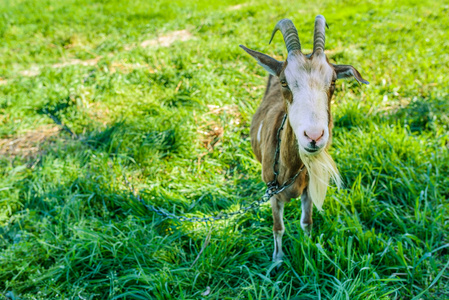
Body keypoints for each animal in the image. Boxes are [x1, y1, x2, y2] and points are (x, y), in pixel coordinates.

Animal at [242, 15, 368, 262]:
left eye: (333, 82)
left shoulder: (309, 190)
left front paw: (309, 249)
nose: (314, 136)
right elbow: (278, 227)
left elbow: (306, 222)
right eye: (284, 82)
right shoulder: (273, 192)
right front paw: (277, 260)